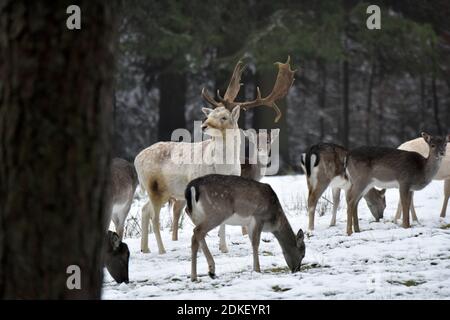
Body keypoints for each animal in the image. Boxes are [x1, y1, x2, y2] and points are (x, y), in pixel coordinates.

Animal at [134, 57, 296, 252]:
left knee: (145, 210)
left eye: (224, 117)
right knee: (154, 216)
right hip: (154, 187)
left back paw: (145, 248)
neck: (223, 167)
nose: (204, 125)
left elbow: (223, 221)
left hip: (162, 191)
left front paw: (224, 248)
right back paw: (162, 249)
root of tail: (136, 159)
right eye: (210, 114)